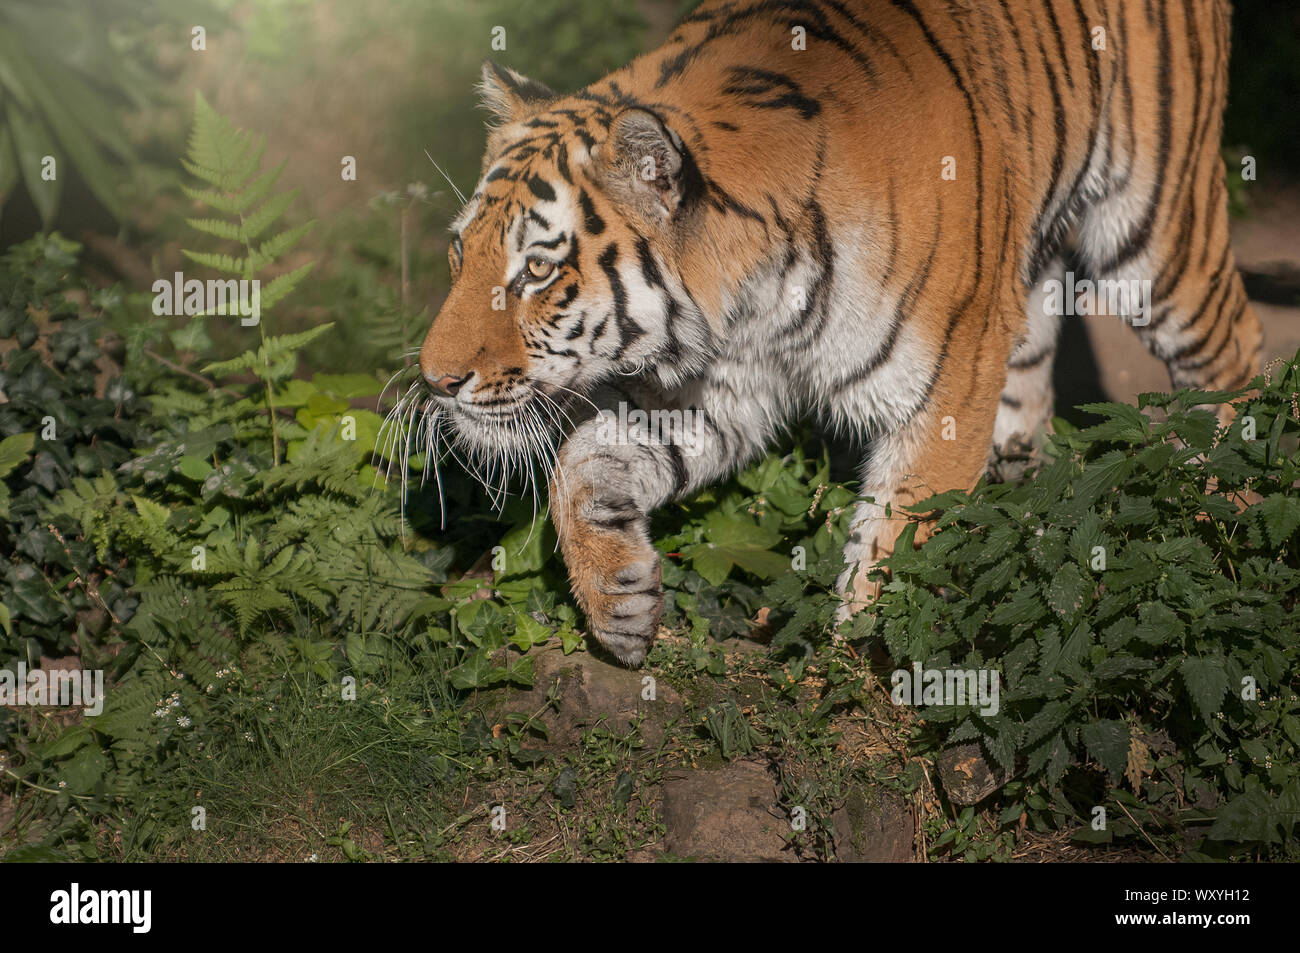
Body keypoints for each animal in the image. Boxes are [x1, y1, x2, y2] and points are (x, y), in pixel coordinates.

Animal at [416, 0, 1258, 665]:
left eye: (536, 271)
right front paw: (617, 601)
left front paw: (860, 693)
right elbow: (582, 463)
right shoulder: (722, 392)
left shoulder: (943, 395)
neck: (751, 306)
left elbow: (894, 565)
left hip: (1156, 223)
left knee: (1233, 351)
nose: (434, 380)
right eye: (460, 251)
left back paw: (1221, 514)